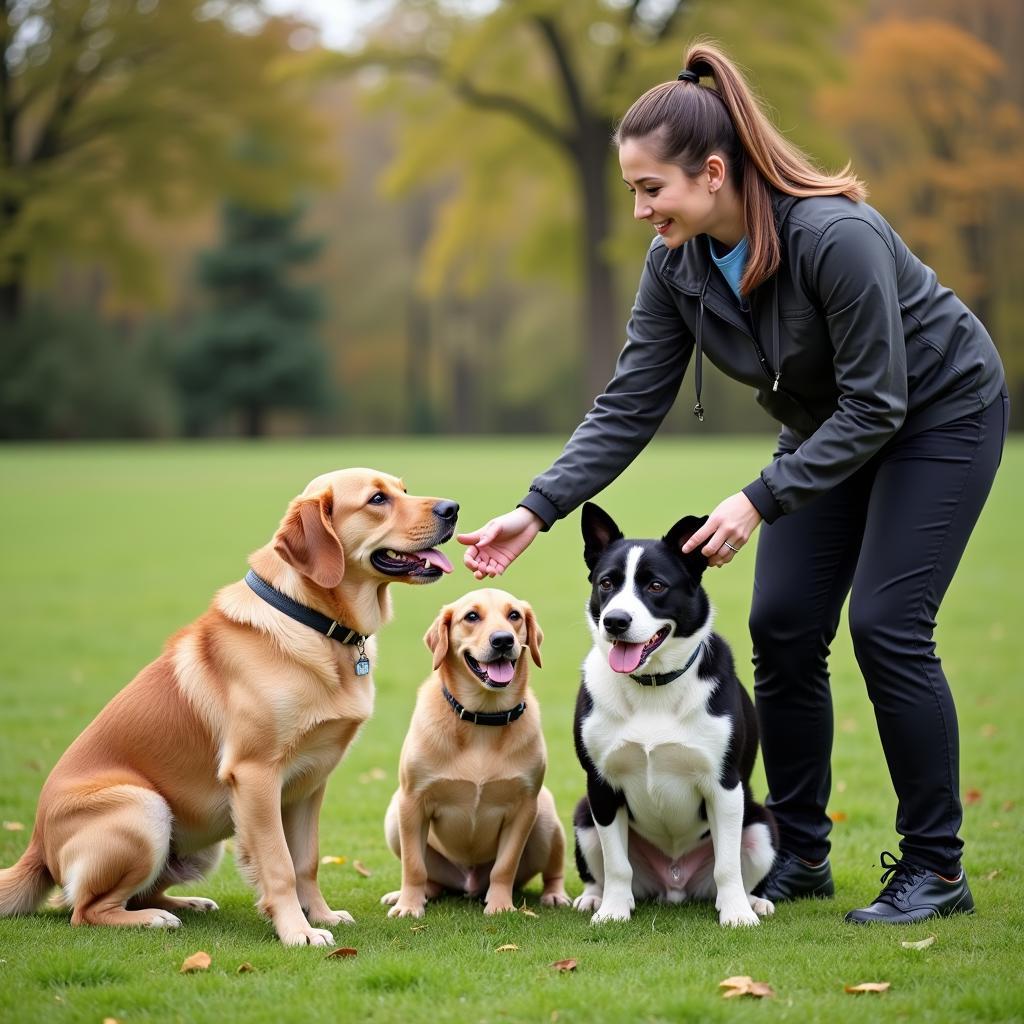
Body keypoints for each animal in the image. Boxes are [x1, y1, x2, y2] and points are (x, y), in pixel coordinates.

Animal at [0, 468, 456, 946]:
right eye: (377, 499)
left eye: (403, 490)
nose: (453, 509)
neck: (311, 620)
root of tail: (35, 846)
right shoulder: (255, 775)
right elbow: (279, 866)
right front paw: (298, 931)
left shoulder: (310, 782)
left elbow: (306, 861)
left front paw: (322, 915)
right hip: (145, 809)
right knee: (84, 909)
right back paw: (152, 920)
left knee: (138, 894)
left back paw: (184, 904)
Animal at [378, 589, 569, 917]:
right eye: (471, 616)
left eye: (514, 615)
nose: (503, 640)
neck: (483, 718)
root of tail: (469, 884)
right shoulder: (412, 801)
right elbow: (414, 866)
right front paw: (409, 905)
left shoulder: (524, 808)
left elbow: (505, 866)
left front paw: (501, 905)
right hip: (394, 815)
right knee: (429, 877)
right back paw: (413, 894)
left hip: (545, 816)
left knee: (552, 869)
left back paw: (554, 894)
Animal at [577, 503, 774, 929]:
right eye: (606, 583)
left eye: (655, 586)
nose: (615, 621)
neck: (653, 685)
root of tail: (674, 884)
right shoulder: (601, 784)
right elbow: (617, 865)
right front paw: (613, 910)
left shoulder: (724, 785)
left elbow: (727, 865)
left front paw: (736, 913)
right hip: (584, 815)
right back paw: (594, 896)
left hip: (761, 823)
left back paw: (754, 901)